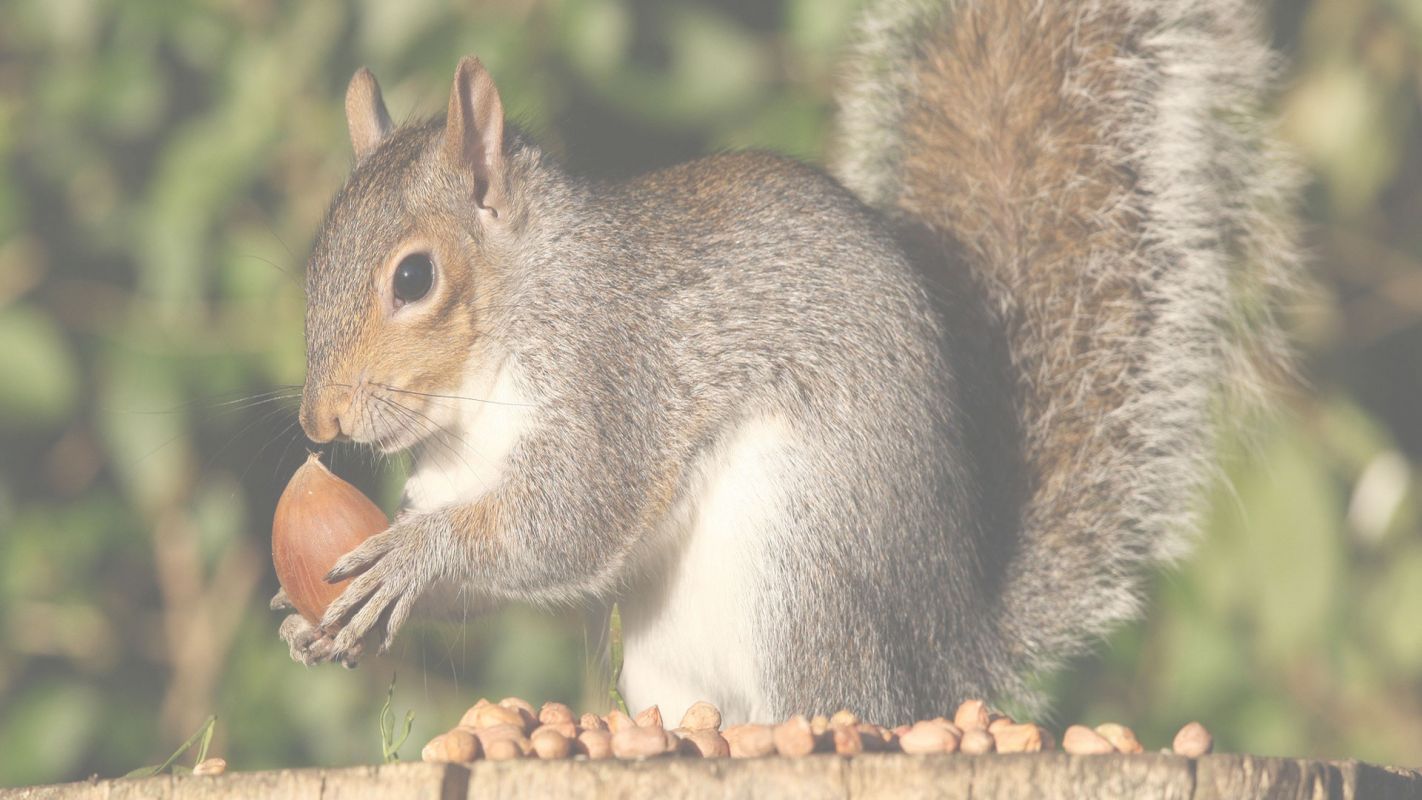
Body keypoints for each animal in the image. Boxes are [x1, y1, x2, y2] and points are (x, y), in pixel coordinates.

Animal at [268, 0, 1302, 727]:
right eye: (314, 256)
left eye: (413, 277)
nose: (318, 424)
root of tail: (950, 658)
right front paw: (316, 619)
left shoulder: (613, 374)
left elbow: (570, 520)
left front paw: (416, 556)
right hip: (671, 656)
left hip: (801, 573)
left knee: (837, 704)